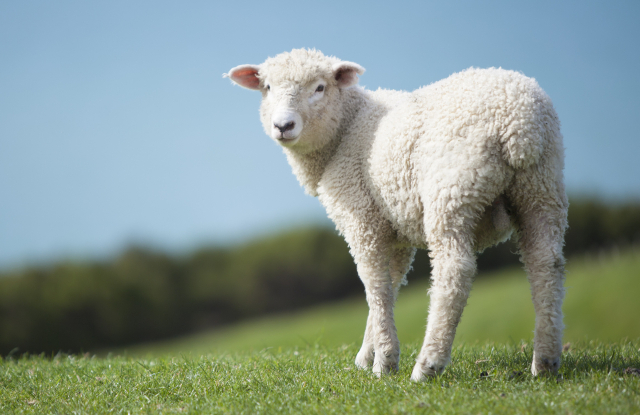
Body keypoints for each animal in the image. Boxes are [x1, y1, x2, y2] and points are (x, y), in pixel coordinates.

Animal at [226, 48, 568, 380]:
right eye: (267, 87)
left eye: (320, 88)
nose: (283, 126)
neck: (345, 129)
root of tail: (519, 122)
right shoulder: (394, 228)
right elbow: (391, 284)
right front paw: (367, 356)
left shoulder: (361, 217)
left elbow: (374, 284)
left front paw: (384, 362)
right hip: (542, 187)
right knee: (546, 263)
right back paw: (545, 362)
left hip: (452, 190)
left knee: (454, 271)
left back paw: (428, 365)